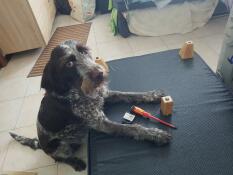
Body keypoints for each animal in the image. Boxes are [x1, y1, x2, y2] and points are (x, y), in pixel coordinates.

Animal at [9, 39, 171, 171]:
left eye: (84, 51)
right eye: (69, 64)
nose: (100, 73)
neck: (79, 92)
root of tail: (40, 144)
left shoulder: (105, 95)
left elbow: (130, 94)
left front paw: (152, 95)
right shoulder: (101, 123)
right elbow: (132, 128)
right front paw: (155, 134)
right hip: (60, 146)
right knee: (59, 158)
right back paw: (76, 163)